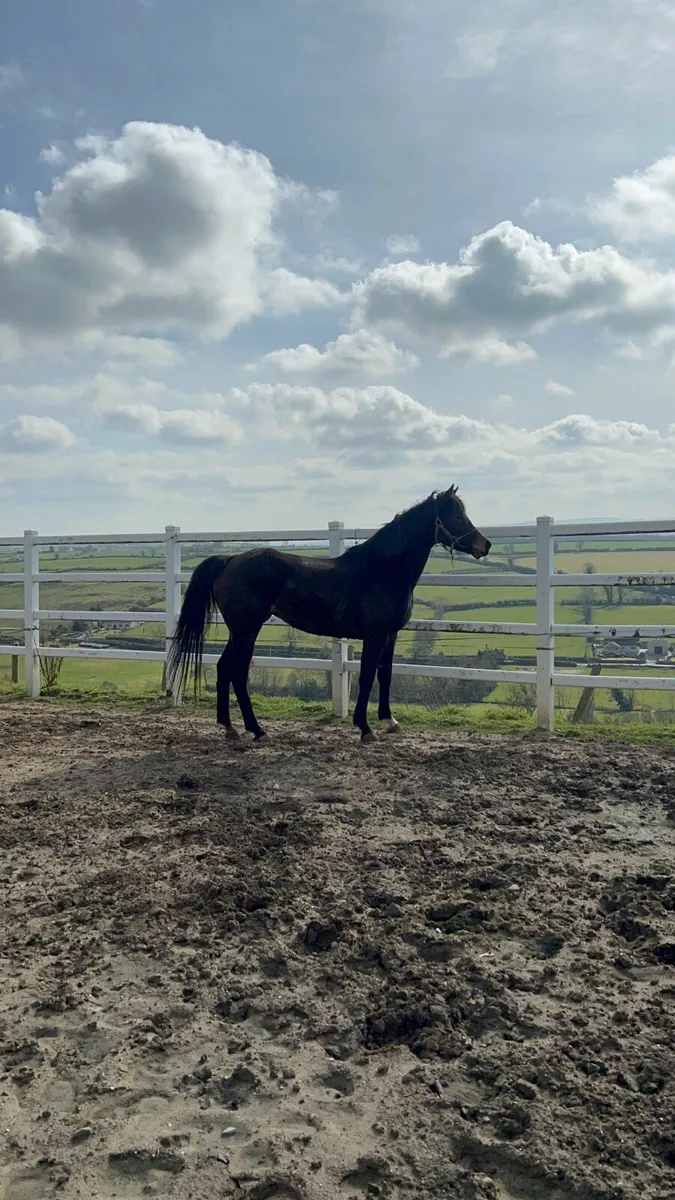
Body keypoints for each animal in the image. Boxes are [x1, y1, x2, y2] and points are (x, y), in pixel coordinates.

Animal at [166, 486, 490, 744]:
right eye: (455, 515)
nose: (484, 545)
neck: (382, 570)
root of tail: (229, 560)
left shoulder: (390, 635)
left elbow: (385, 676)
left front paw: (389, 721)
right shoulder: (374, 636)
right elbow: (367, 677)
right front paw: (365, 728)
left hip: (239, 631)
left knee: (223, 669)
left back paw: (229, 727)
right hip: (247, 630)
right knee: (237, 673)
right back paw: (257, 730)